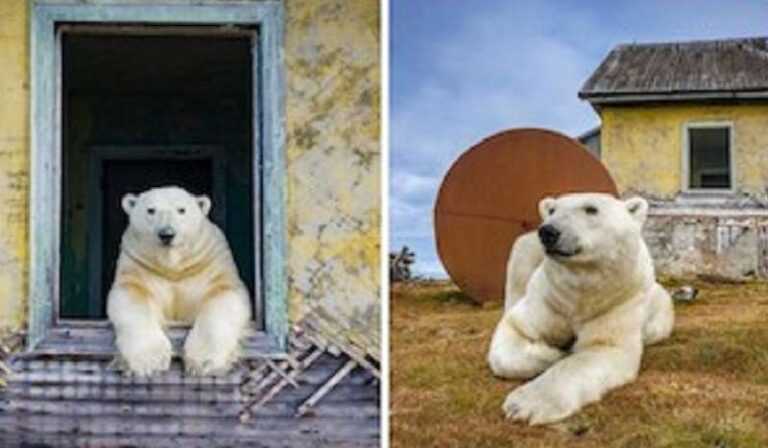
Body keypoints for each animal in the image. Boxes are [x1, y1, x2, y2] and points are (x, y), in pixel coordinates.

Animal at [107, 186, 252, 378]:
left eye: (181, 210)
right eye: (151, 210)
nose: (167, 234)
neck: (173, 267)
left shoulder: (210, 261)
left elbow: (224, 294)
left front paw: (204, 362)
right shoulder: (138, 264)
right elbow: (131, 295)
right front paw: (149, 362)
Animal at [488, 192, 676, 424]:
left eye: (591, 209)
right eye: (552, 210)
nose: (548, 231)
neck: (580, 293)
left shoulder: (618, 301)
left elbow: (602, 348)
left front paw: (524, 404)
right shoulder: (550, 298)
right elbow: (515, 329)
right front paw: (552, 354)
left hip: (660, 307)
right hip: (526, 251)